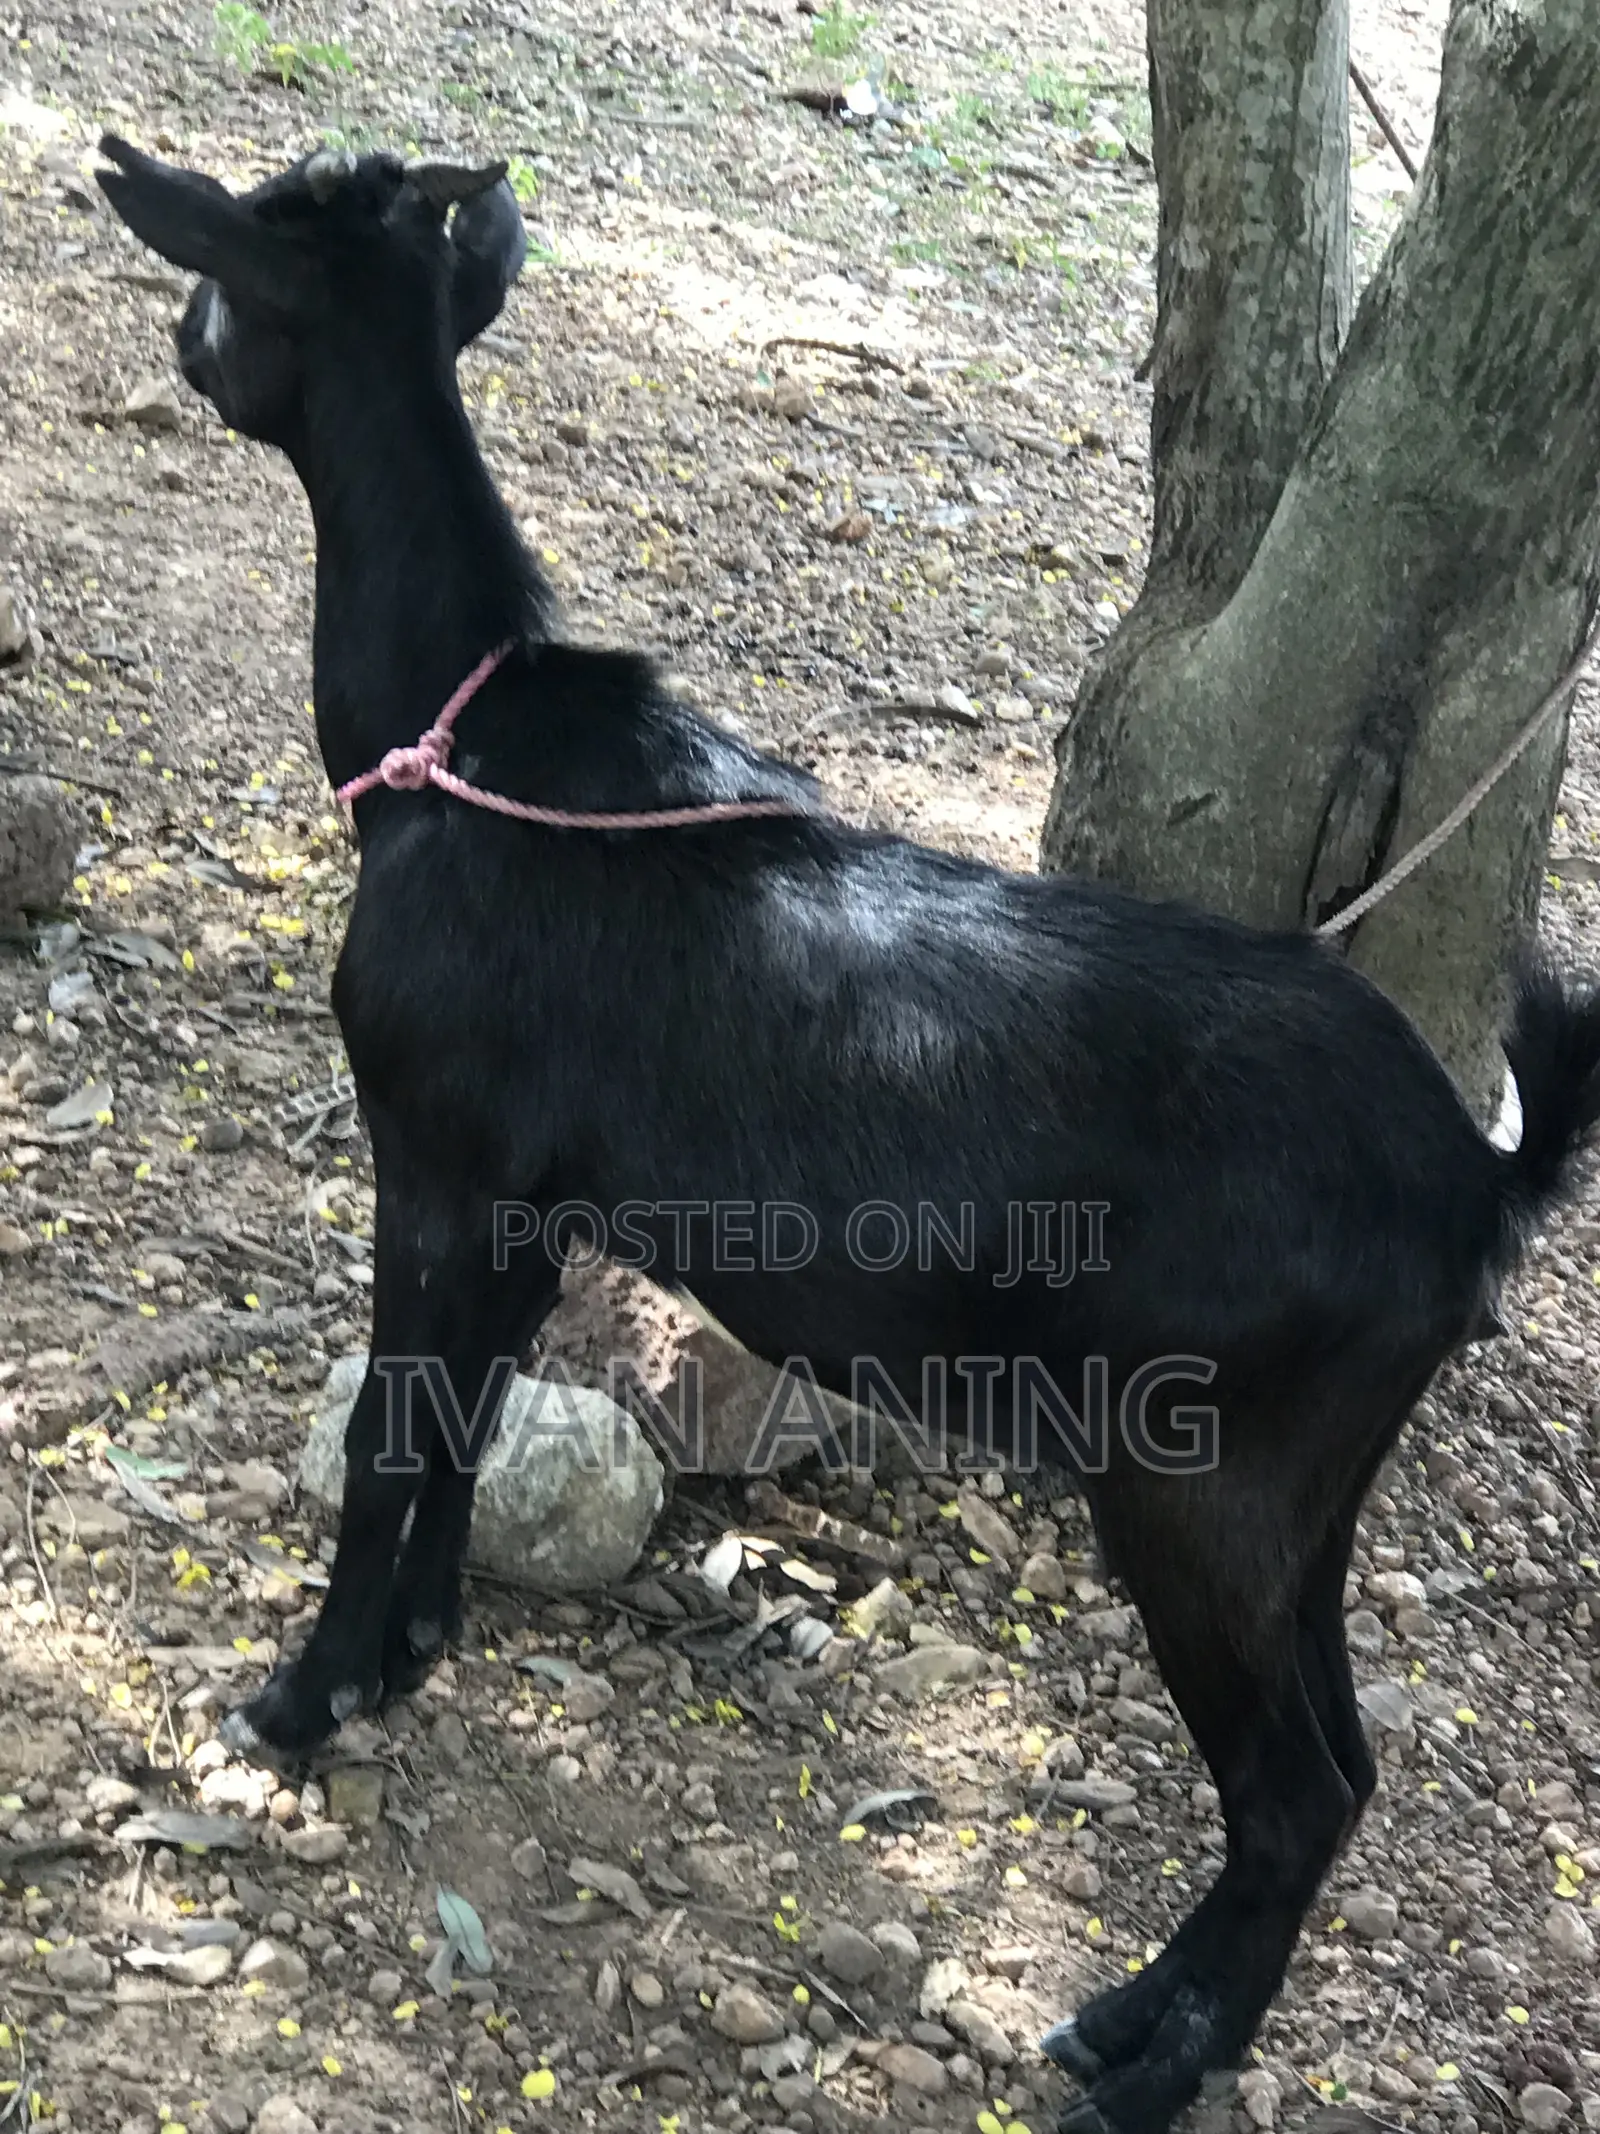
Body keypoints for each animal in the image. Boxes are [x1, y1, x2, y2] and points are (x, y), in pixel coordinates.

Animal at [95, 136, 1600, 2134]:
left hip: (1201, 1460)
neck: (459, 749)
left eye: (232, 266)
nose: (182, 351)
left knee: (1291, 1788)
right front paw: (409, 1651)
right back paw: (1132, 2018)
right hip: (1310, 1480)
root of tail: (1477, 1179)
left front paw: (299, 1695)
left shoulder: (436, 1152)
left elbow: (387, 1429)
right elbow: (471, 1417)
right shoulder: (536, 1204)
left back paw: (1140, 2074)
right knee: (1342, 1765)